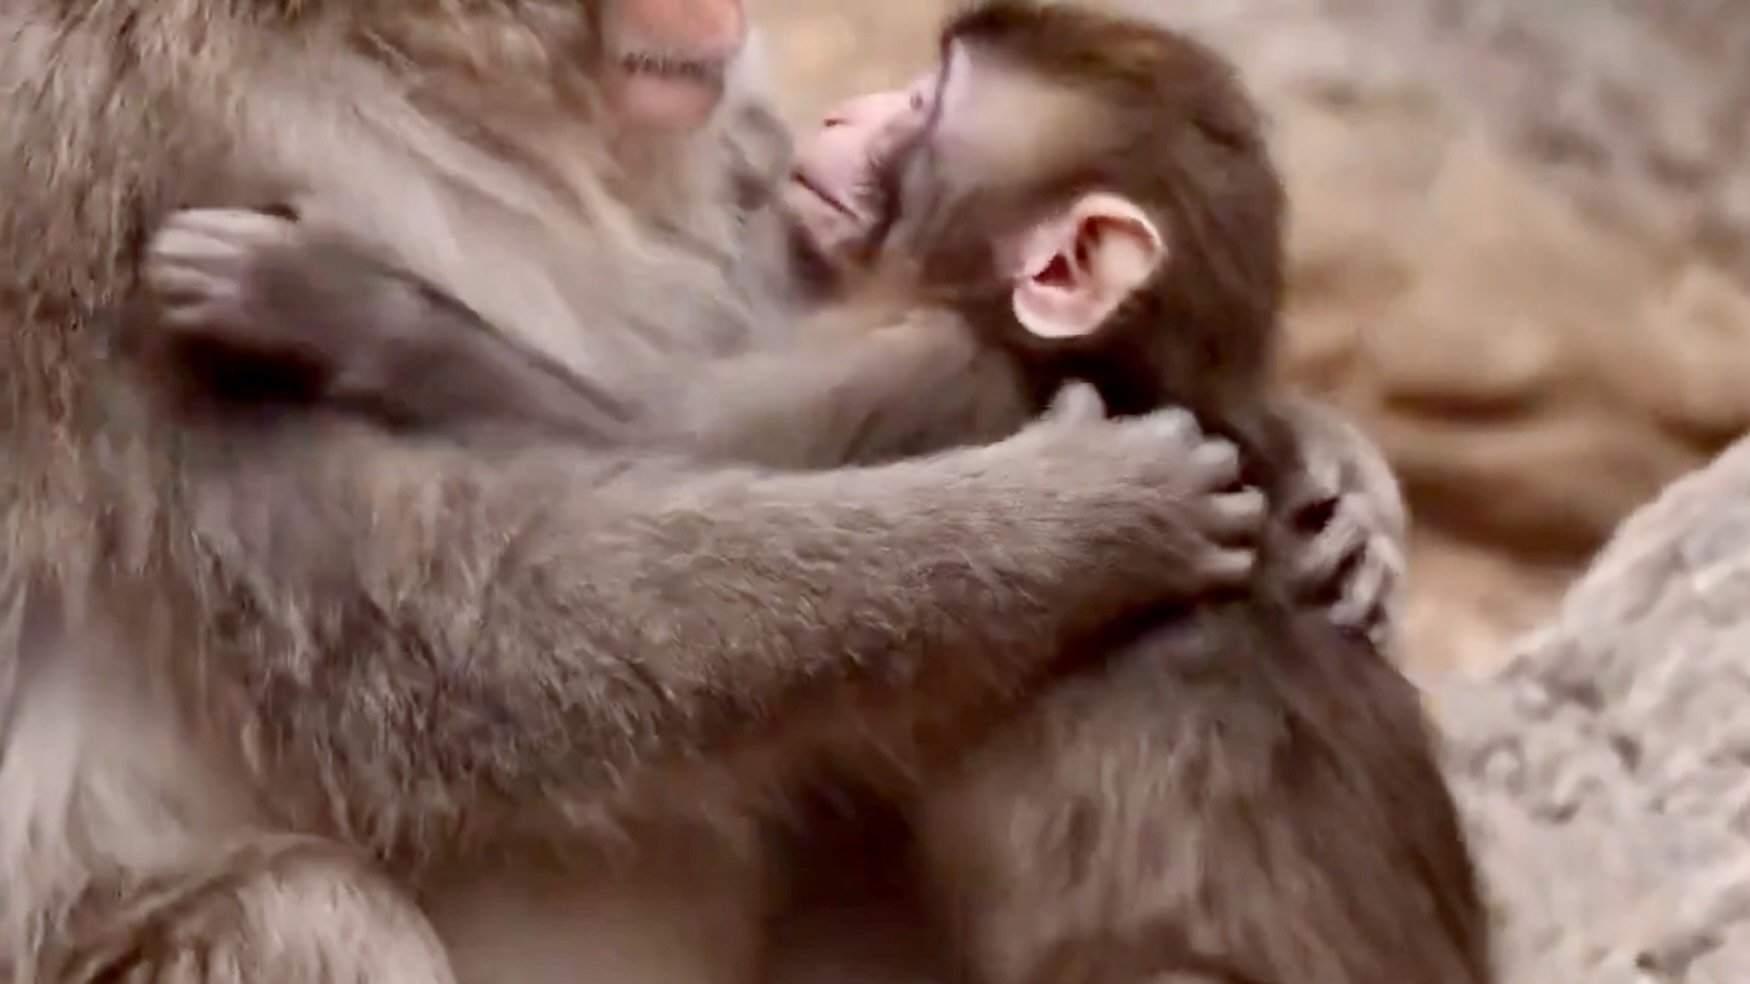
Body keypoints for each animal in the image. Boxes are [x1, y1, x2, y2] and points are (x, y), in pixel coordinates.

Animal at [111, 6, 1478, 984]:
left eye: (923, 107)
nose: (846, 107)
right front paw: (1311, 476)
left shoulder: (933, 373)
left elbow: (638, 435)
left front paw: (325, 298)